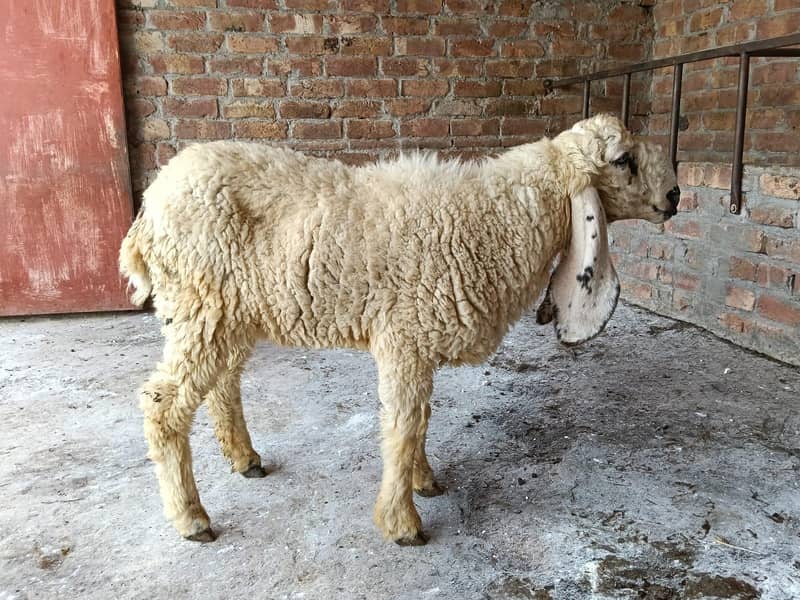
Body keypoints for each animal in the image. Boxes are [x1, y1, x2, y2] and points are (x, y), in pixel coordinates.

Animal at [120, 114, 679, 546]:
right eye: (623, 159)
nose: (676, 194)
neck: (496, 220)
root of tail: (148, 208)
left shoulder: (418, 343)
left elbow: (422, 420)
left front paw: (424, 480)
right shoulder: (404, 339)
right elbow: (403, 425)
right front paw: (402, 521)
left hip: (227, 314)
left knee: (223, 385)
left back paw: (243, 458)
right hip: (198, 306)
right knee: (164, 403)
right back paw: (192, 518)